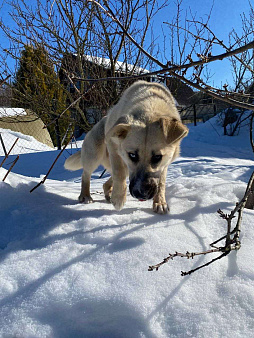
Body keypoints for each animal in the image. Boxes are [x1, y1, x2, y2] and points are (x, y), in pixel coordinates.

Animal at [64, 80, 188, 214]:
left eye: (157, 157)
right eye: (132, 155)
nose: (140, 194)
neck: (150, 106)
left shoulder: (165, 163)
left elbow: (161, 182)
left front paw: (160, 202)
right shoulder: (114, 147)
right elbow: (119, 172)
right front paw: (118, 198)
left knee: (106, 182)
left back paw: (108, 194)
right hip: (94, 156)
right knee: (86, 175)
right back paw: (86, 195)